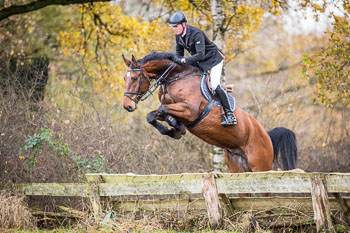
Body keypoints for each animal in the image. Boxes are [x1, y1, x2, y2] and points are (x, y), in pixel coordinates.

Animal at [121, 52, 296, 173]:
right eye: (125, 78)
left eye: (135, 78)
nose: (127, 106)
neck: (176, 77)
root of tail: (267, 136)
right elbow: (152, 115)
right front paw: (174, 129)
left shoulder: (189, 110)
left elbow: (163, 110)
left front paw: (177, 128)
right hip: (238, 166)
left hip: (260, 165)